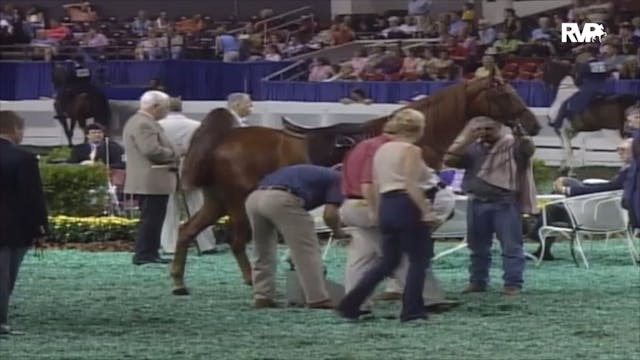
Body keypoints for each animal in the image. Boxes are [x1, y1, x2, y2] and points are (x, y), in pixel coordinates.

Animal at [169, 76, 540, 296]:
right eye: (504, 92)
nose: (533, 123)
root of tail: (225, 138)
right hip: (237, 203)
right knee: (235, 241)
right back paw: (250, 280)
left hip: (217, 202)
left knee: (187, 231)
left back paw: (179, 282)